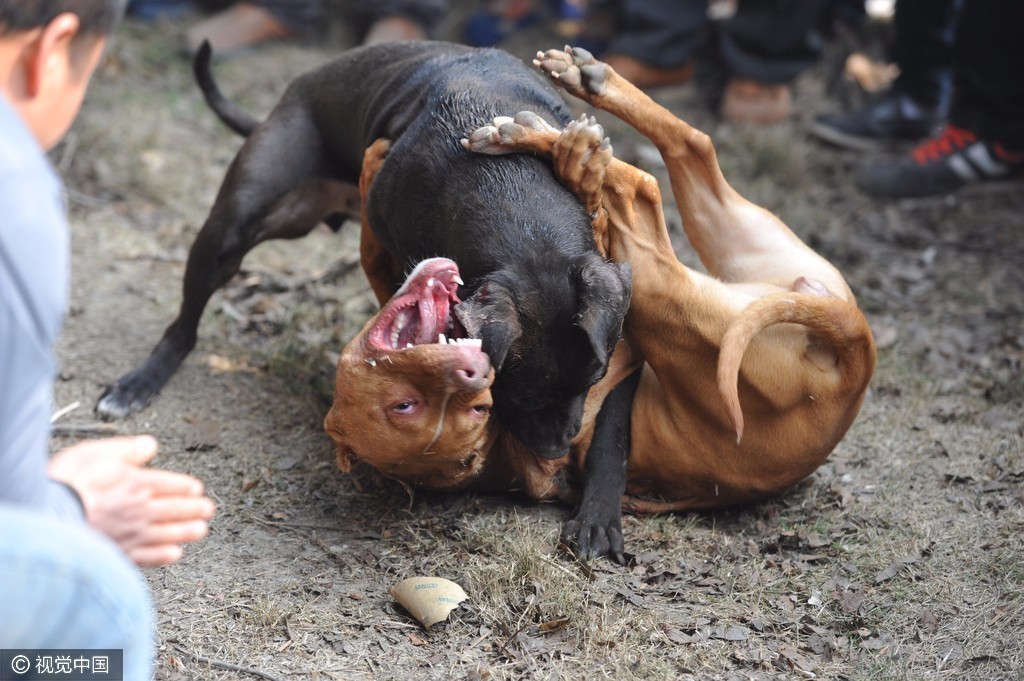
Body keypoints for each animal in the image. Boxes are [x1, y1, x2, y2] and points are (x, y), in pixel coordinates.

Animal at [96, 39, 626, 458]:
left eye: (595, 377)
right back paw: (140, 382)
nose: (556, 452)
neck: (513, 192)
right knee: (184, 325)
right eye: (518, 392)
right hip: (229, 232)